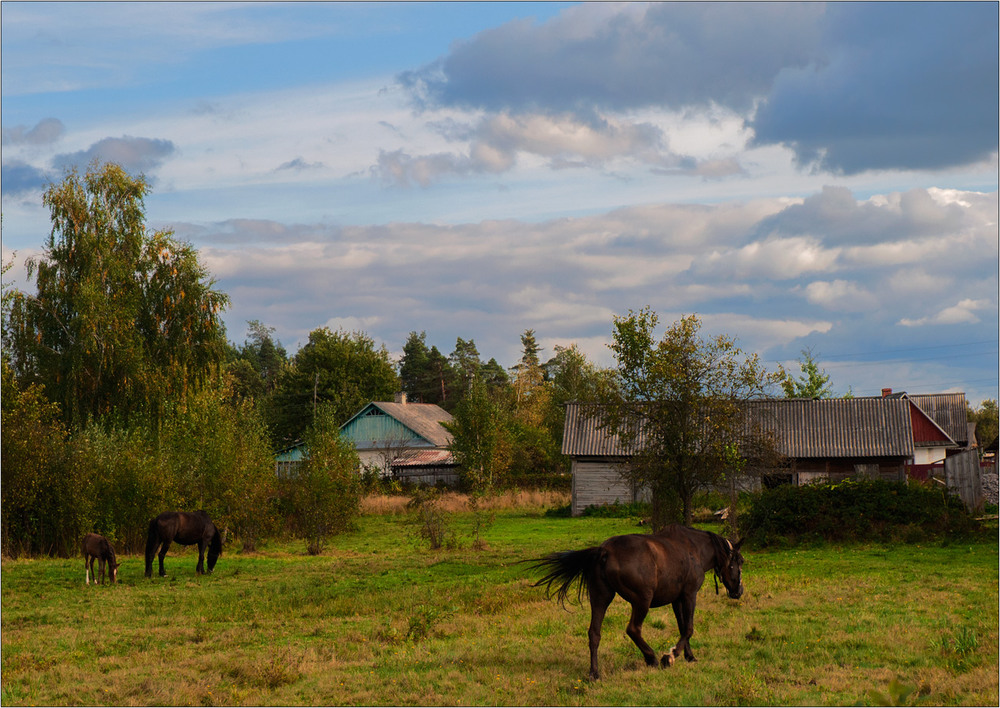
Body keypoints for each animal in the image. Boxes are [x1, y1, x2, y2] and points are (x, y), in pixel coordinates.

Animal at [532, 524, 744, 680]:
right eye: (740, 562)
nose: (739, 591)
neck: (694, 549)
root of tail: (605, 550)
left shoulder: (676, 600)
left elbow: (683, 628)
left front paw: (688, 656)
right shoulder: (689, 595)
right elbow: (689, 628)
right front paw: (670, 656)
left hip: (601, 597)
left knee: (594, 634)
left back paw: (595, 673)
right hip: (642, 600)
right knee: (633, 629)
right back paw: (652, 658)